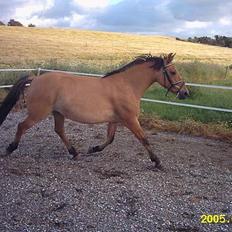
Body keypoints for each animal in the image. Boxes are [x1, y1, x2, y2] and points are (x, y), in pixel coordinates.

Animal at [0, 52, 188, 169]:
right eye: (173, 71)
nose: (185, 93)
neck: (126, 85)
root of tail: (35, 79)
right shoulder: (130, 119)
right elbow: (144, 139)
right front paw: (157, 162)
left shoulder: (115, 120)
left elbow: (110, 139)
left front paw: (93, 149)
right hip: (38, 113)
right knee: (22, 126)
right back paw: (10, 149)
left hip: (58, 113)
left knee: (59, 130)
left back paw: (75, 153)